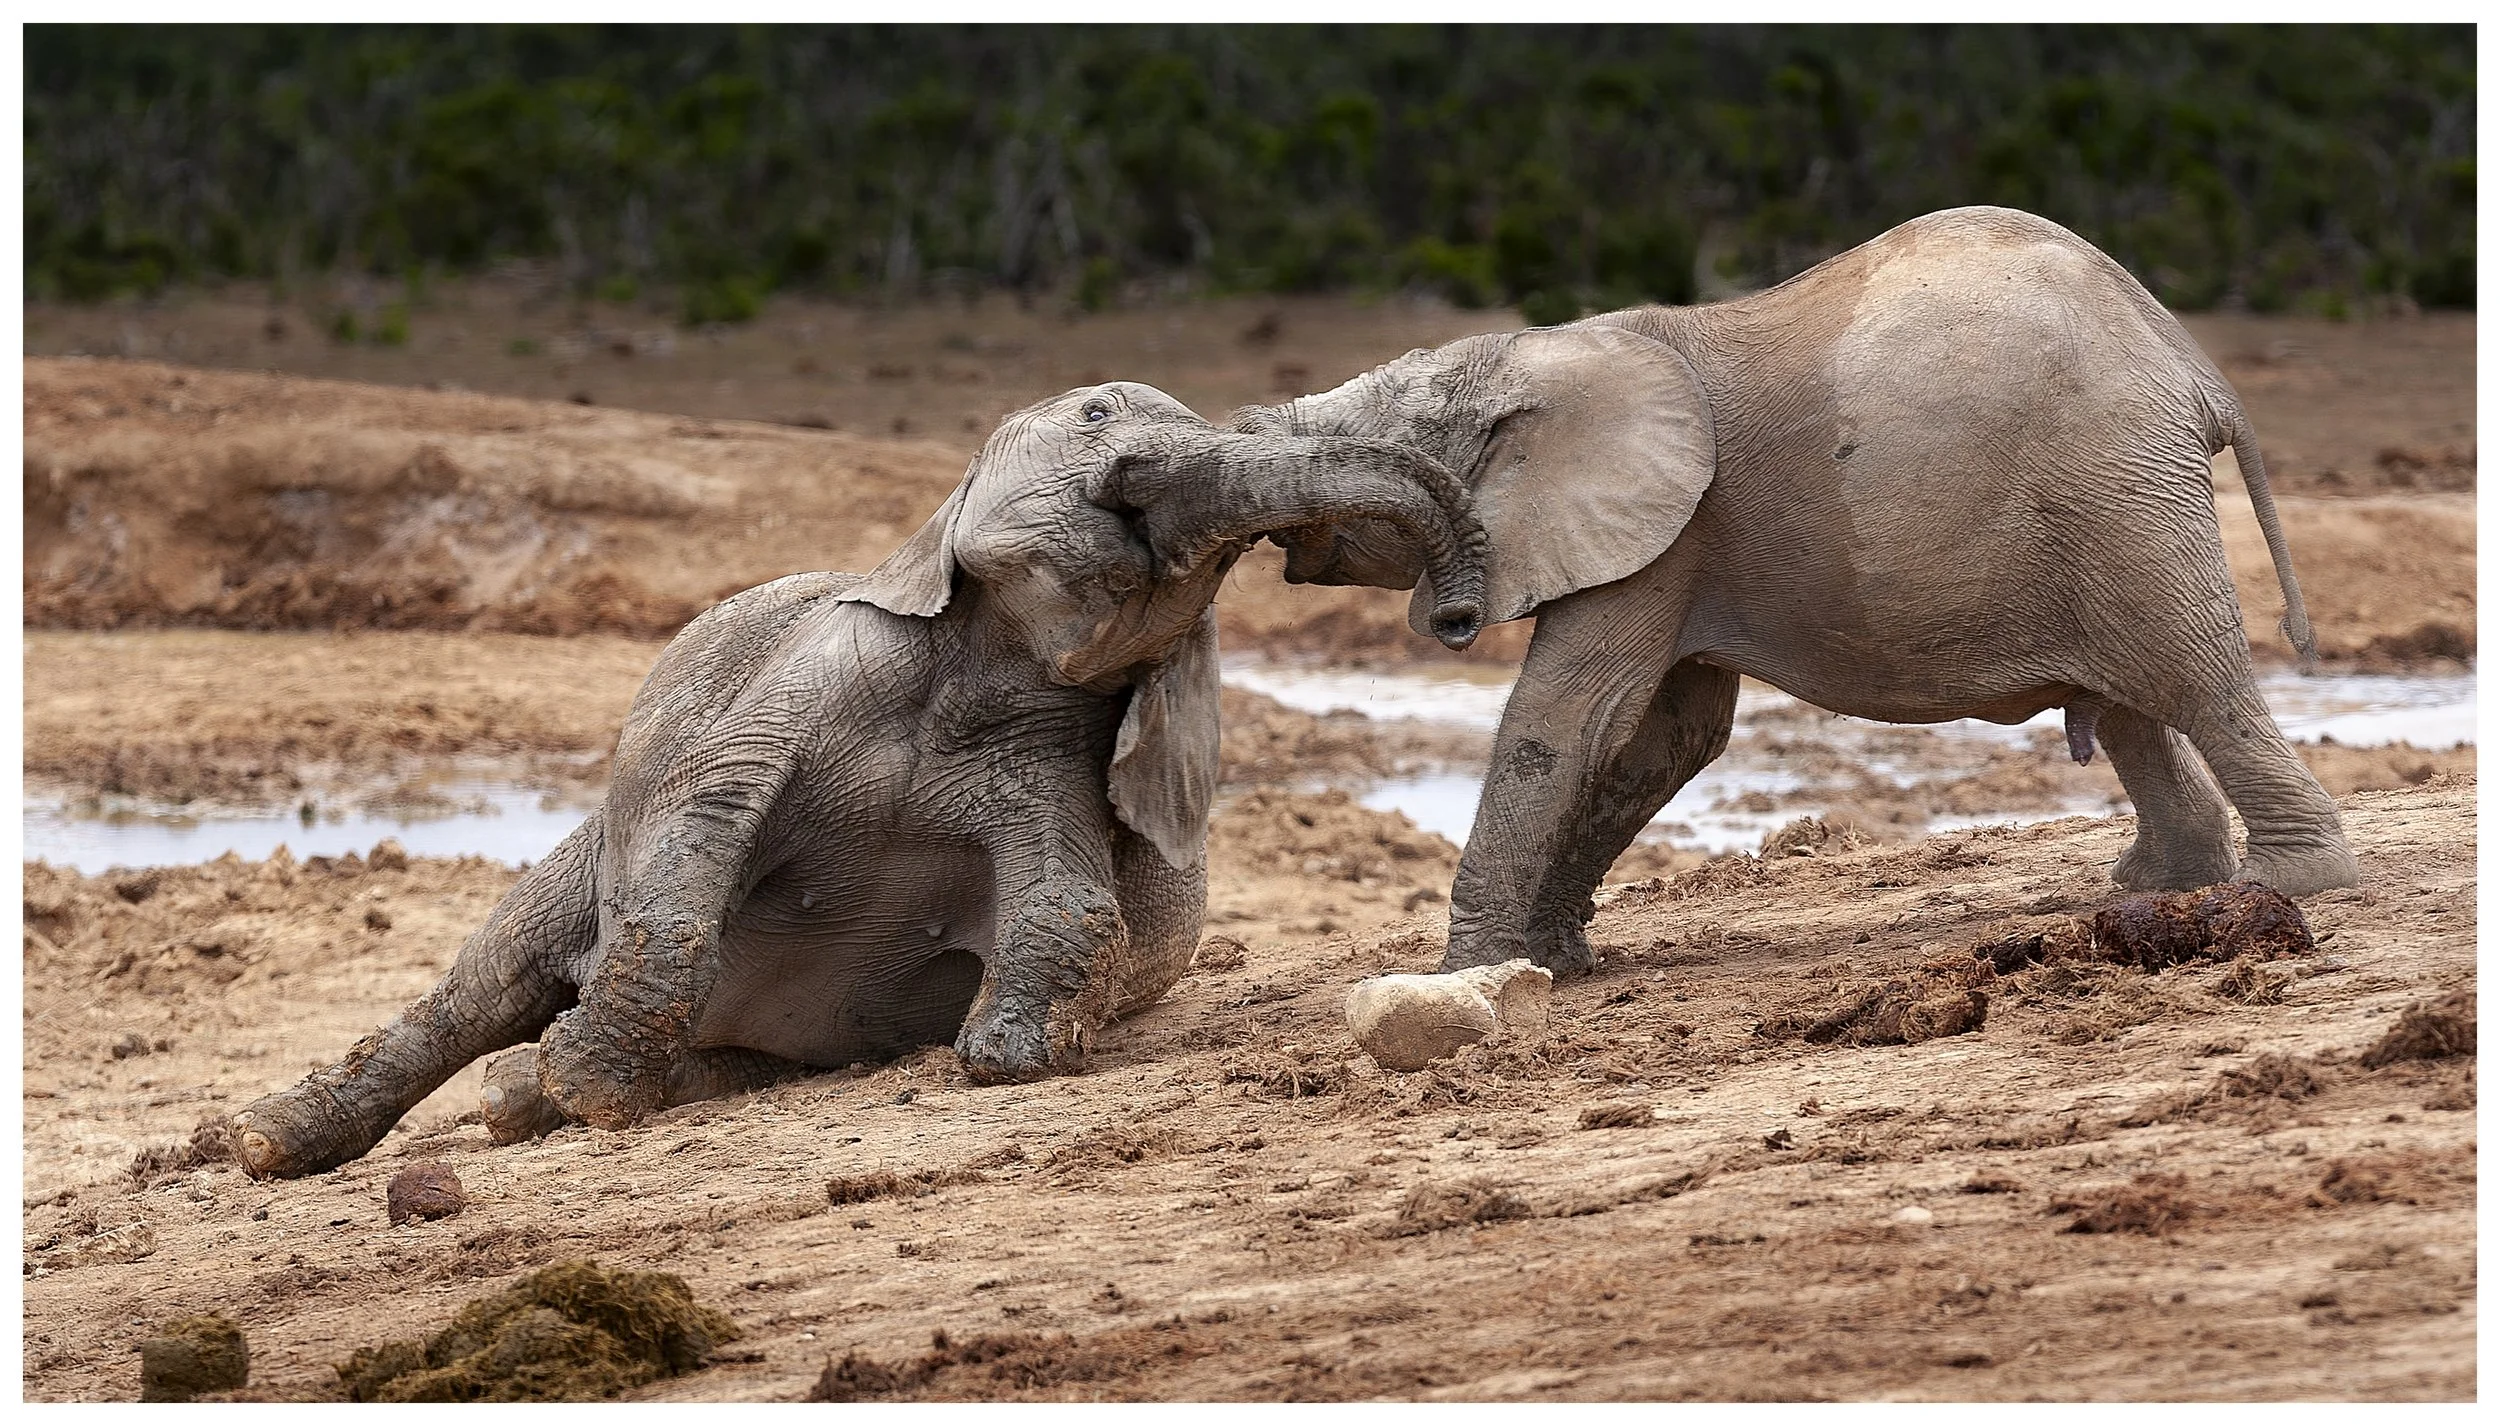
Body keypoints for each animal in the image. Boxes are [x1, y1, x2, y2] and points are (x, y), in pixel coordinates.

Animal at [229, 382, 1488, 1178]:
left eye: (1220, 559)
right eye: (1096, 417)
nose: (1454, 618)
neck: (981, 655)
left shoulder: (1048, 750)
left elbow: (1072, 899)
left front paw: (1005, 1053)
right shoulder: (820, 666)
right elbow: (709, 810)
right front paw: (593, 1086)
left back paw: (520, 1096)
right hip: (576, 854)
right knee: (481, 984)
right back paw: (277, 1140)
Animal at [1228, 205, 2359, 978]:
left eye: (1366, 449)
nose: (1455, 620)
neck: (1544, 349)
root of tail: (2194, 370)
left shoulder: (1666, 535)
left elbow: (1570, 720)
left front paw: (1472, 972)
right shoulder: (1677, 547)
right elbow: (1664, 738)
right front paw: (1555, 962)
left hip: (2115, 486)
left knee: (2194, 676)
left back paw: (2290, 884)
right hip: (2107, 503)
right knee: (2134, 702)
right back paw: (2162, 884)